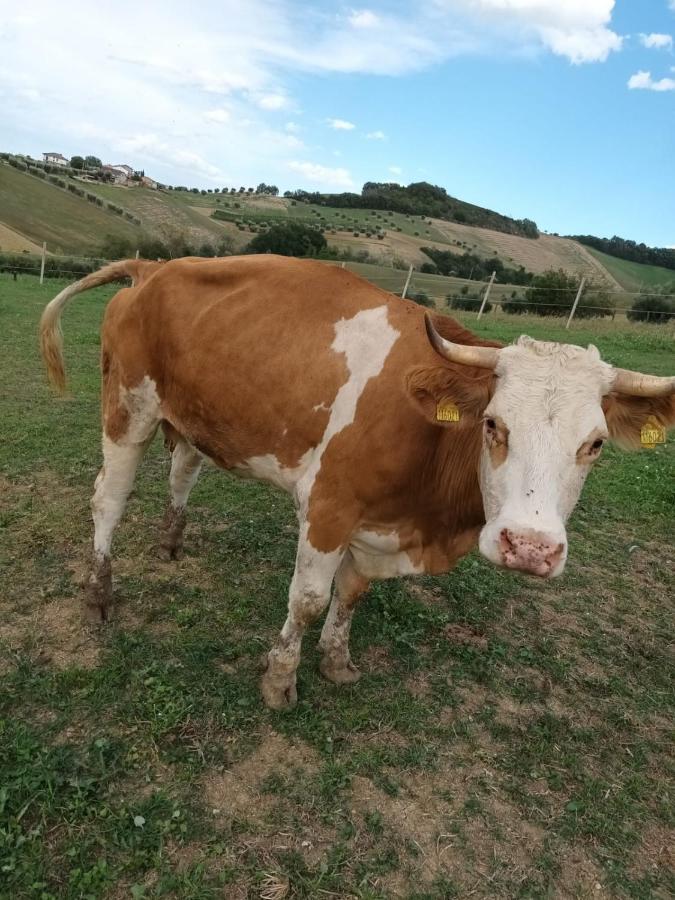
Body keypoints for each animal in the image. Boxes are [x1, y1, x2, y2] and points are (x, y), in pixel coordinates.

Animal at [41, 255, 675, 712]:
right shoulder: (328, 507)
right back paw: (99, 594)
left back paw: (171, 540)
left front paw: (337, 660)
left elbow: (351, 593)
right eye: (494, 424)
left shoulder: (378, 527)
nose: (530, 547)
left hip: (193, 415)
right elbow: (308, 599)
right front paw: (280, 680)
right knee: (108, 498)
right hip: (128, 408)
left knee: (183, 470)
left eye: (595, 444)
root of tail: (154, 267)